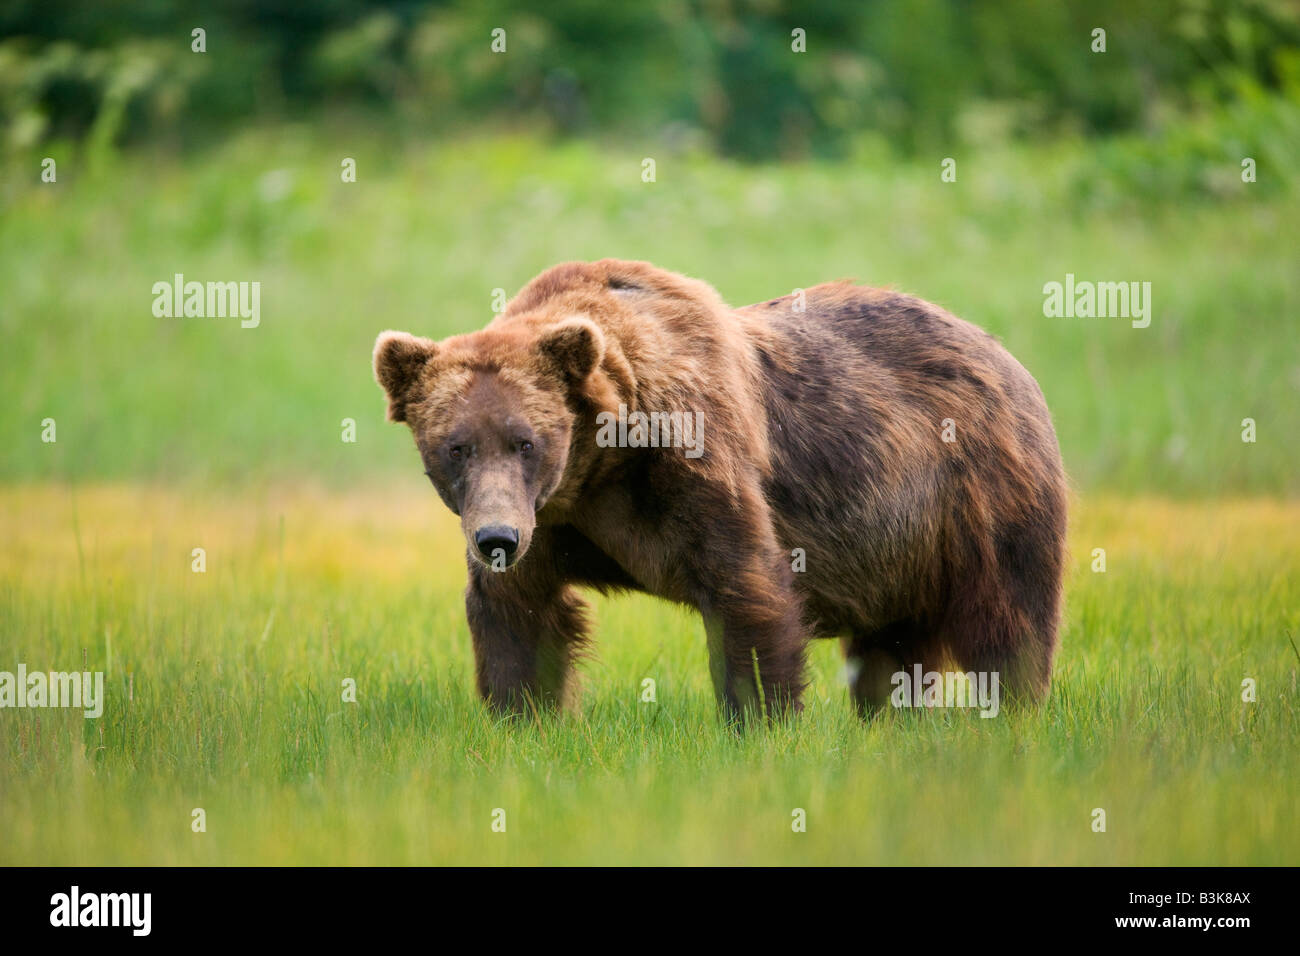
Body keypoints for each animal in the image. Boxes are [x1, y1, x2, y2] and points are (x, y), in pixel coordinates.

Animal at [374, 257, 1066, 723]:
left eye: (525, 442)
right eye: (455, 447)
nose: (496, 538)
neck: (603, 461)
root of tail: (1001, 351)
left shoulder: (692, 458)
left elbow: (745, 588)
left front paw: (761, 722)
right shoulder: (551, 518)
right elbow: (518, 615)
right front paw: (525, 720)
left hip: (974, 494)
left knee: (1007, 619)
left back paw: (1010, 713)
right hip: (897, 552)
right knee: (891, 649)